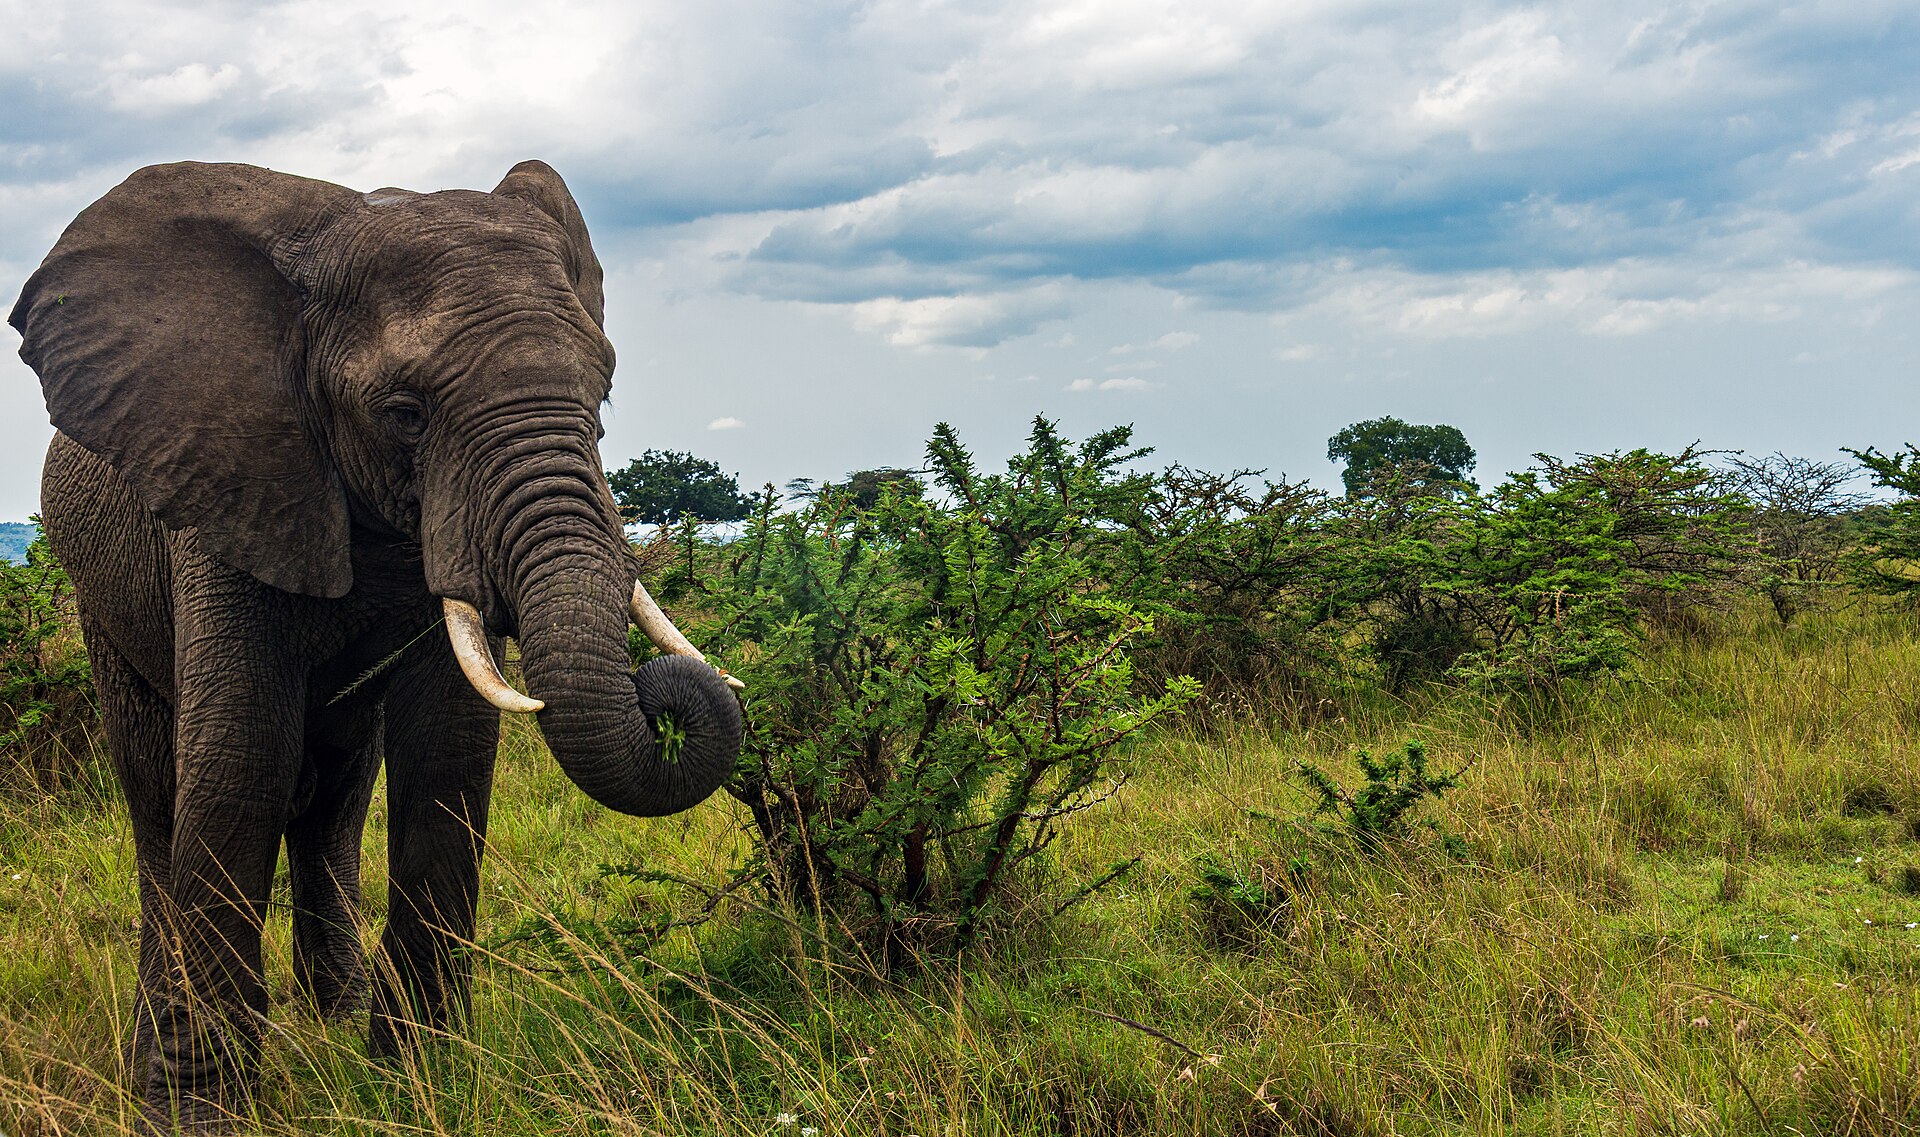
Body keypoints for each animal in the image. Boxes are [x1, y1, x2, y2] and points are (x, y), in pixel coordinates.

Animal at [8, 160, 745, 1131]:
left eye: (604, 394)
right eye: (405, 413)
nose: (668, 694)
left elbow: (449, 754)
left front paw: (420, 1080)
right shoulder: (222, 485)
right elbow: (238, 760)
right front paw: (196, 1112)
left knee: (333, 800)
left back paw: (338, 1018)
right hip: (98, 590)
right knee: (159, 799)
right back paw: (158, 1049)